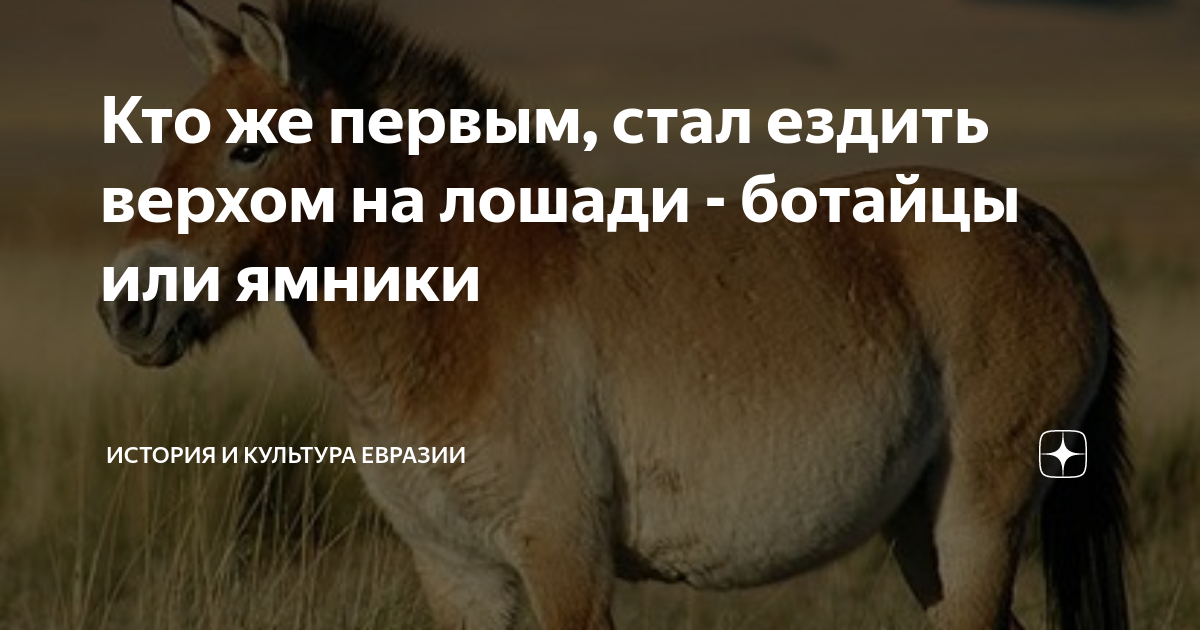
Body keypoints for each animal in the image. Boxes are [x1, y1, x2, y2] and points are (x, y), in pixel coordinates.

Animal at [98, 1, 1130, 628]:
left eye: (249, 147)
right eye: (171, 134)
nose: (127, 312)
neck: (465, 316)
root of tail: (1050, 234)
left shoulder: (565, 560)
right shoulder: (457, 571)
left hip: (981, 514)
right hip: (920, 528)